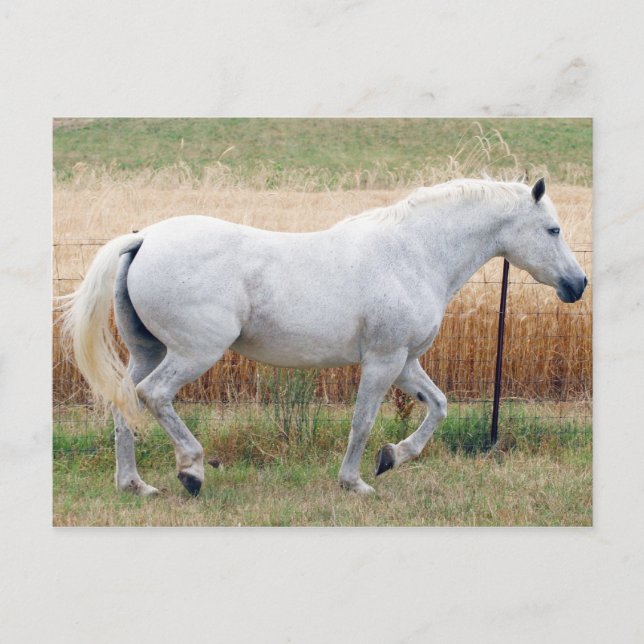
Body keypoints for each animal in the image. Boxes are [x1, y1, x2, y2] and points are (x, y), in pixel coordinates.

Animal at [60, 178, 587, 497]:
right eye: (553, 229)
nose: (577, 285)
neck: (414, 254)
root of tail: (143, 237)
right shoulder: (382, 359)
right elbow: (362, 421)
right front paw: (356, 482)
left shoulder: (405, 362)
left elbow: (438, 405)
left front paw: (393, 457)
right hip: (194, 352)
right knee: (153, 395)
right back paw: (190, 471)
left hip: (147, 350)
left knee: (124, 404)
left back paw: (135, 485)